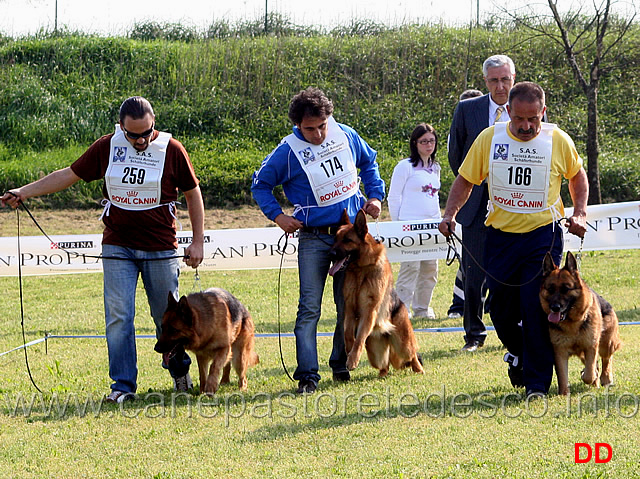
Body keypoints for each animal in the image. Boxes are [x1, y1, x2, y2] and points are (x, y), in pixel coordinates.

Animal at [330, 210, 424, 378]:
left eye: (347, 240)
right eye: (335, 239)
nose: (330, 253)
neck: (360, 269)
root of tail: (386, 334)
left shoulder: (369, 311)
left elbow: (359, 338)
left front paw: (352, 359)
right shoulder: (349, 309)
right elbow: (348, 333)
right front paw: (349, 351)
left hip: (403, 344)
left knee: (412, 355)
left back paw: (419, 369)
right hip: (375, 353)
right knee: (384, 364)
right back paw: (382, 375)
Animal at [540, 253, 620, 396]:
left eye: (566, 289)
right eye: (550, 289)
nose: (555, 307)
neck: (572, 324)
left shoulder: (591, 346)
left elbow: (589, 374)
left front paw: (589, 376)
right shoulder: (560, 352)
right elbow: (562, 376)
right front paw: (564, 394)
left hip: (607, 344)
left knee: (606, 359)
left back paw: (606, 378)